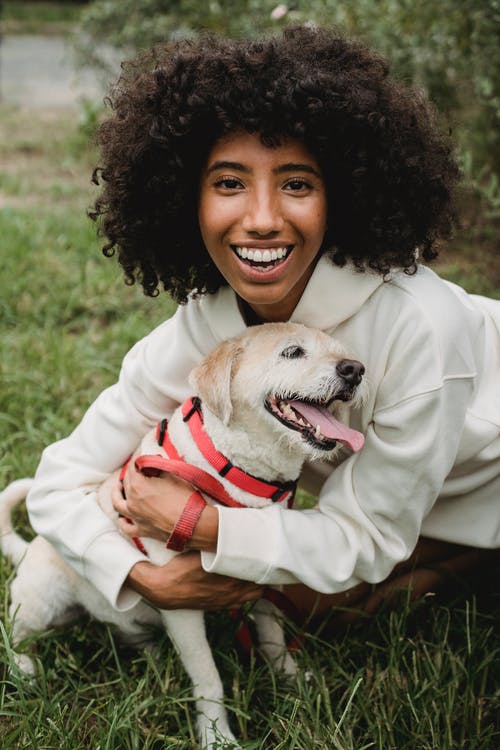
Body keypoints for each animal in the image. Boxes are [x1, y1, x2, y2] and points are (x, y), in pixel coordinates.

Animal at [0, 324, 368, 750]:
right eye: (292, 352)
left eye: (342, 350)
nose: (355, 370)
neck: (235, 470)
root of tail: (27, 551)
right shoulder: (182, 607)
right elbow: (208, 678)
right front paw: (216, 735)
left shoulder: (265, 584)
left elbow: (273, 637)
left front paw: (291, 681)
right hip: (43, 599)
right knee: (14, 630)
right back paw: (24, 666)